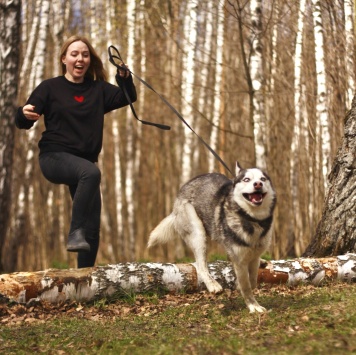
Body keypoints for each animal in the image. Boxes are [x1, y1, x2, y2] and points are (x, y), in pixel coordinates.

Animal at [147, 163, 276, 312]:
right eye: (246, 179)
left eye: (263, 179)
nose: (258, 184)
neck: (251, 219)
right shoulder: (239, 260)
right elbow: (246, 286)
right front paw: (253, 306)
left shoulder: (254, 255)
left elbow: (253, 281)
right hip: (198, 233)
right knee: (200, 265)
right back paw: (213, 285)